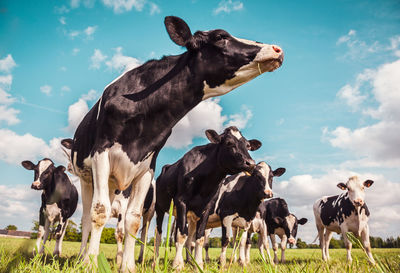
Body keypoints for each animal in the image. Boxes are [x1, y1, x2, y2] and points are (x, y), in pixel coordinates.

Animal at [154, 126, 262, 268]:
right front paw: (177, 264)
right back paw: (155, 261)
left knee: (187, 236)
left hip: (188, 215)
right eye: (229, 143)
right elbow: (182, 235)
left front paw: (198, 264)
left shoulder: (206, 207)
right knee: (159, 233)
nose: (250, 163)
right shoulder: (181, 201)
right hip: (159, 207)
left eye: (248, 146)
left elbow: (198, 238)